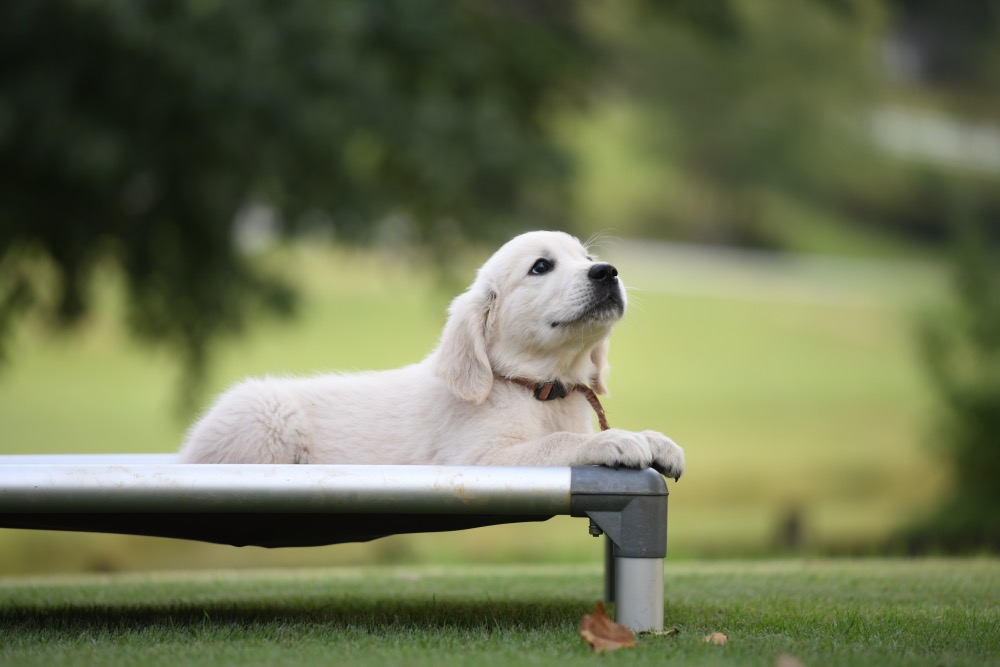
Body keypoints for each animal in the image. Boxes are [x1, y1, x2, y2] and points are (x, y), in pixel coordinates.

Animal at [176, 232, 684, 478]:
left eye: (586, 258)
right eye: (541, 267)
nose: (607, 272)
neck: (536, 387)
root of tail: (186, 452)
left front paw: (654, 439)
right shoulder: (479, 459)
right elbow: (558, 443)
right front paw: (613, 442)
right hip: (262, 420)